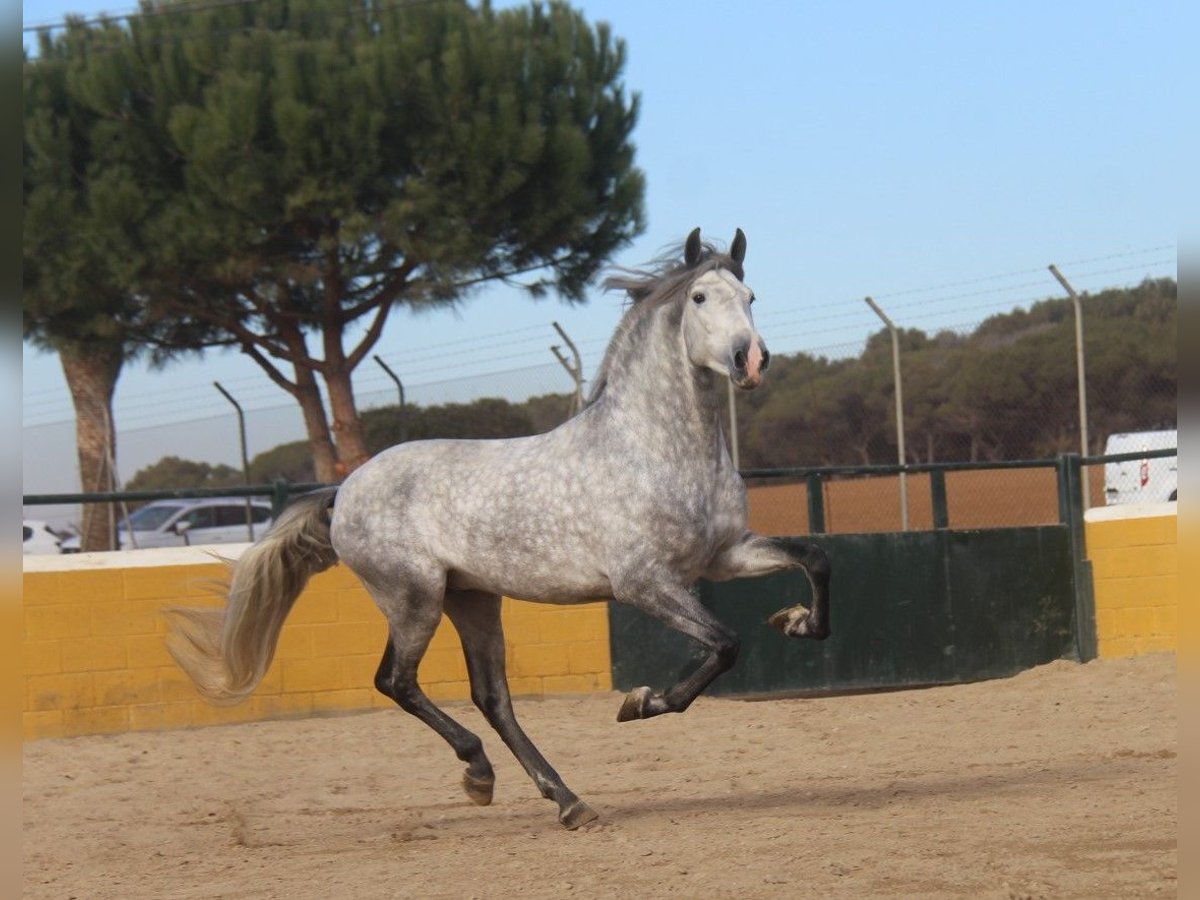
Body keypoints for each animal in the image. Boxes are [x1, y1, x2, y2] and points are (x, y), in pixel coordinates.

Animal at [164, 230, 830, 830]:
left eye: (750, 295)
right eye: (699, 297)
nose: (751, 360)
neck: (654, 447)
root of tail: (344, 492)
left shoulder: (723, 557)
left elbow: (813, 558)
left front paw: (797, 622)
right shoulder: (643, 582)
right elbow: (725, 642)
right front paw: (641, 702)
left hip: (474, 599)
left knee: (492, 698)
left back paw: (566, 801)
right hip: (414, 599)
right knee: (396, 681)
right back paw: (480, 773)